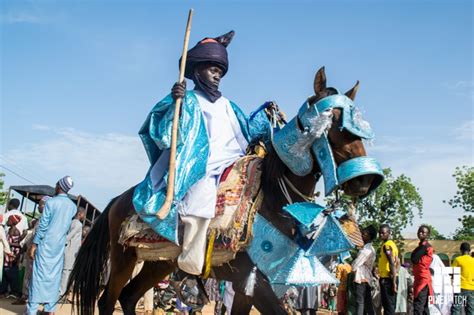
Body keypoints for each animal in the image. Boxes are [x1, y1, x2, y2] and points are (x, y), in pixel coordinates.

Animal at [65, 67, 378, 315]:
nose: (365, 180)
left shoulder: (248, 284)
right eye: (331, 119)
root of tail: (120, 199)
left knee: (129, 297)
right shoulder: (252, 281)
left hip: (159, 263)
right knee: (108, 301)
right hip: (123, 258)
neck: (272, 199)